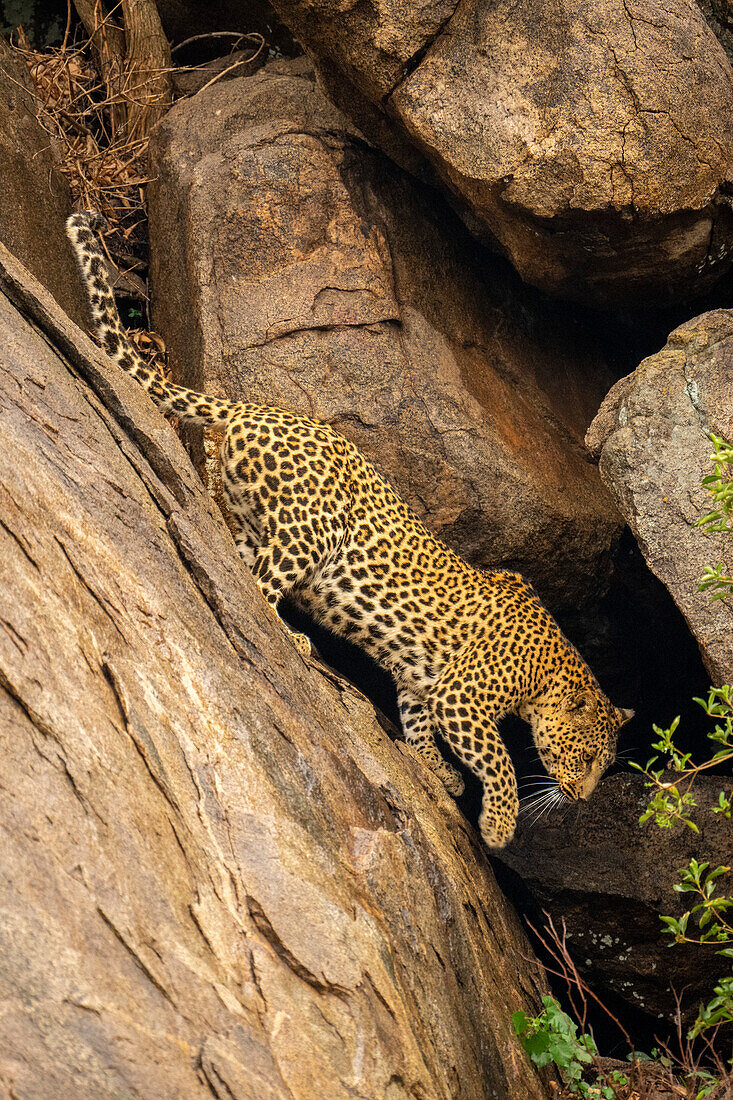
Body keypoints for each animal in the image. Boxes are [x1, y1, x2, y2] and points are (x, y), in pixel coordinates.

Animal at [65, 212, 629, 849]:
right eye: (589, 758)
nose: (582, 798)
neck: (548, 670)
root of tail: (253, 409)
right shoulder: (464, 696)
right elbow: (501, 759)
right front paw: (499, 823)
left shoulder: (421, 684)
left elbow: (416, 725)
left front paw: (436, 773)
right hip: (312, 531)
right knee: (260, 589)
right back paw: (293, 640)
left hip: (253, 520)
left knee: (239, 565)